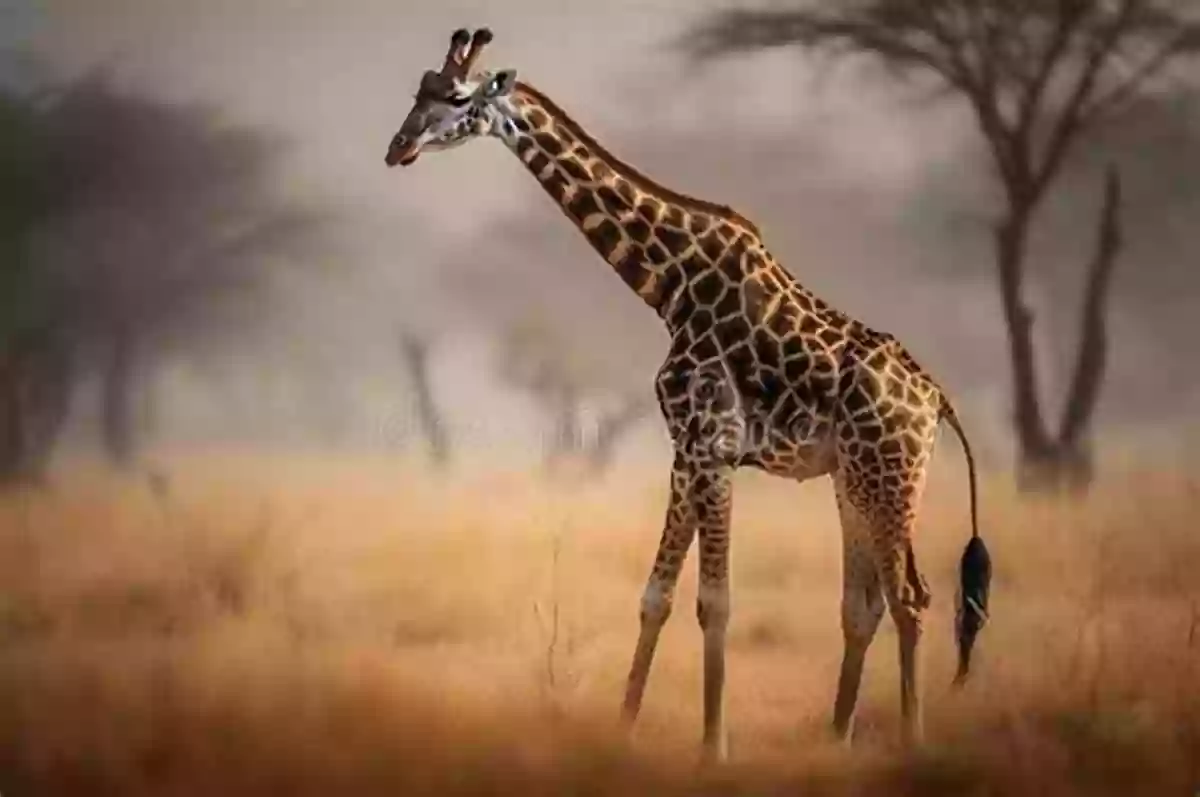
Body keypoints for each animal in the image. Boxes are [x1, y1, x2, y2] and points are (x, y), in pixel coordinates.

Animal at [384, 26, 993, 758]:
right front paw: (623, 728)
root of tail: (936, 401)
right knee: (864, 603)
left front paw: (713, 747)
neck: (670, 284)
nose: (397, 148)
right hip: (853, 479)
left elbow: (715, 600)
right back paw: (836, 736)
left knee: (912, 596)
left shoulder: (714, 446)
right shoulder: (685, 451)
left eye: (456, 97)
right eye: (417, 90)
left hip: (890, 471)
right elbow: (658, 595)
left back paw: (912, 743)